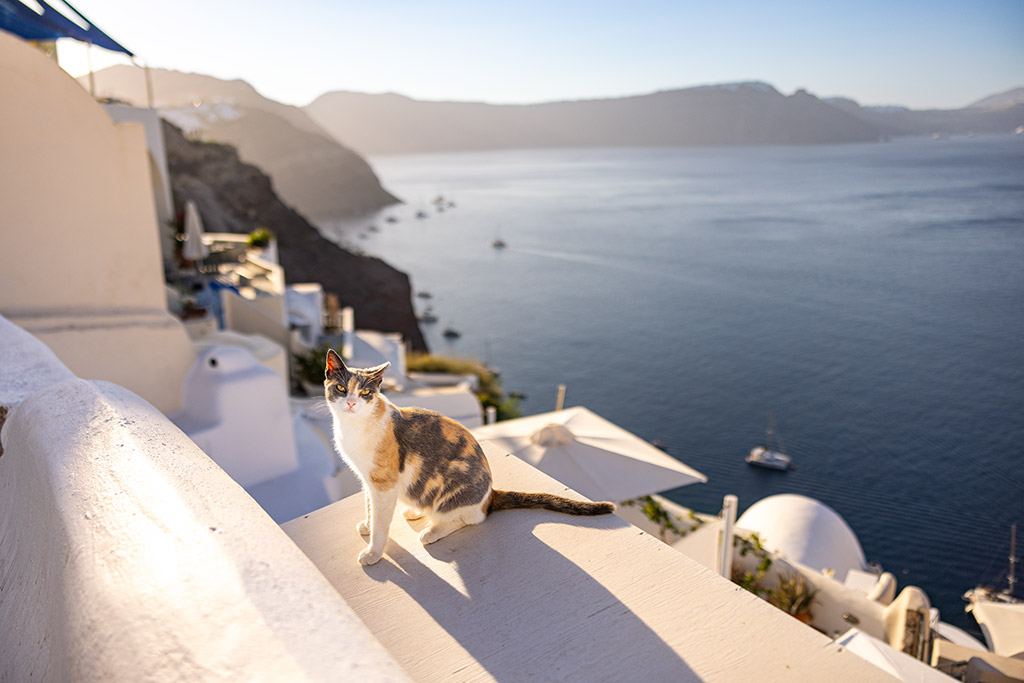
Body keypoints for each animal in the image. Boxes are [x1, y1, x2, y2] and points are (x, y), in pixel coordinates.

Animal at [325, 350, 614, 565]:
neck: (354, 427)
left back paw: (432, 531)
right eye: (340, 388)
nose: (351, 403)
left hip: (455, 486)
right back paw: (414, 512)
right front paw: (368, 523)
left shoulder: (384, 483)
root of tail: (490, 495)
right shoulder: (369, 480)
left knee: (469, 517)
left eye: (365, 393)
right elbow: (369, 505)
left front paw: (374, 552)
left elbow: (381, 522)